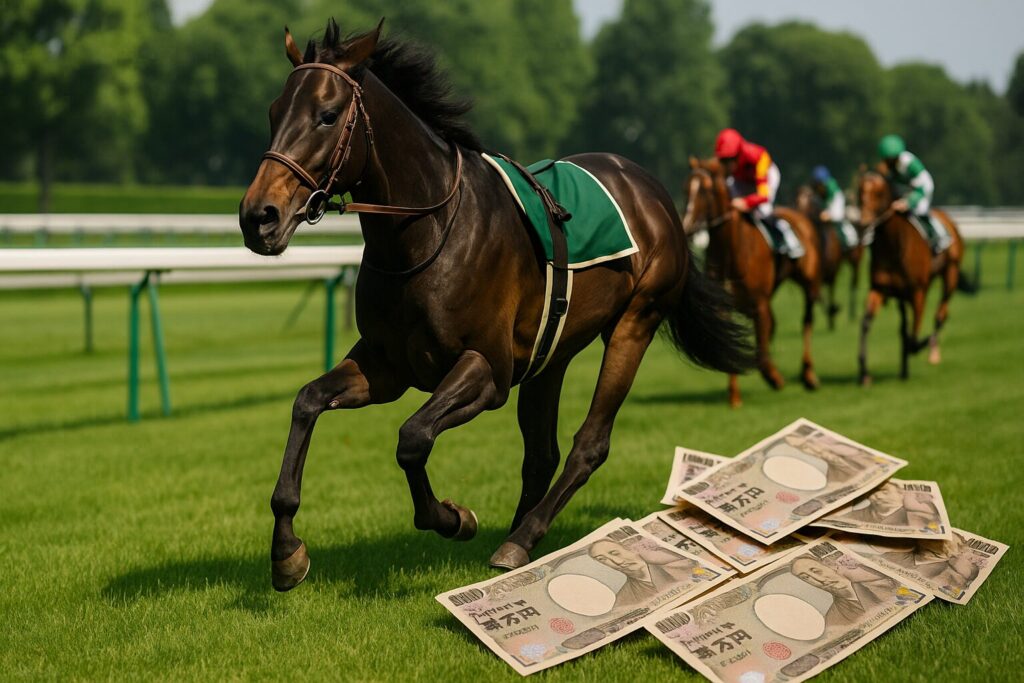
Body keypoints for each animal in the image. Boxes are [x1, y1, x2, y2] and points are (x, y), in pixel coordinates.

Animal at [238, 20, 753, 591]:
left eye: (327, 115)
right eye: (273, 112)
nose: (258, 216)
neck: (426, 235)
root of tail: (650, 187)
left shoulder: (487, 370)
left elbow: (412, 437)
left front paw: (453, 517)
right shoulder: (385, 366)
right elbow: (307, 401)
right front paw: (286, 552)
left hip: (635, 323)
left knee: (589, 443)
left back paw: (521, 539)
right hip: (553, 351)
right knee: (542, 451)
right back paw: (521, 534)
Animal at [682, 158, 822, 408]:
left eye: (705, 190)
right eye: (685, 188)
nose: (686, 225)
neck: (732, 251)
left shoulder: (759, 304)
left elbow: (763, 353)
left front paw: (775, 378)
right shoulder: (724, 308)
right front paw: (734, 396)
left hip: (809, 283)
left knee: (807, 321)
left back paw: (808, 375)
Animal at [796, 185, 865, 330]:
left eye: (808, 201)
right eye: (797, 200)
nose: (799, 216)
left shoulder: (833, 271)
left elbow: (829, 291)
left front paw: (833, 314)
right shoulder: (817, 273)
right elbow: (817, 294)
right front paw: (831, 313)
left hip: (855, 260)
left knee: (853, 282)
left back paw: (852, 313)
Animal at [855, 170, 973, 384]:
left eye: (878, 193)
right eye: (860, 191)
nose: (863, 223)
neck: (893, 245)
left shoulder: (918, 292)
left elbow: (913, 338)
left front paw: (921, 345)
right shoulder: (880, 289)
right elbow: (866, 323)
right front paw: (864, 373)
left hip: (950, 275)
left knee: (941, 314)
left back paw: (932, 351)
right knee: (905, 326)